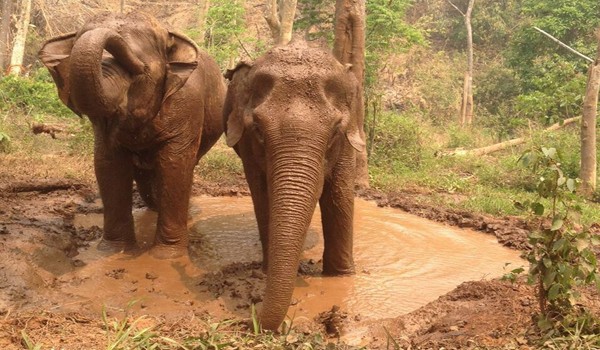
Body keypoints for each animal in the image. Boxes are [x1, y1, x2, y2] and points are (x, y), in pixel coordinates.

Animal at [38, 12, 225, 258]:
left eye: (139, 69)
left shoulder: (187, 103)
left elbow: (174, 164)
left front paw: (165, 257)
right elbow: (108, 164)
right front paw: (111, 252)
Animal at [223, 39, 364, 330]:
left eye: (334, 131)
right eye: (258, 130)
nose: (250, 316)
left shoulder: (347, 140)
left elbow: (339, 194)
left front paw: (342, 277)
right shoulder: (247, 145)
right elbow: (262, 195)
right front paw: (267, 271)